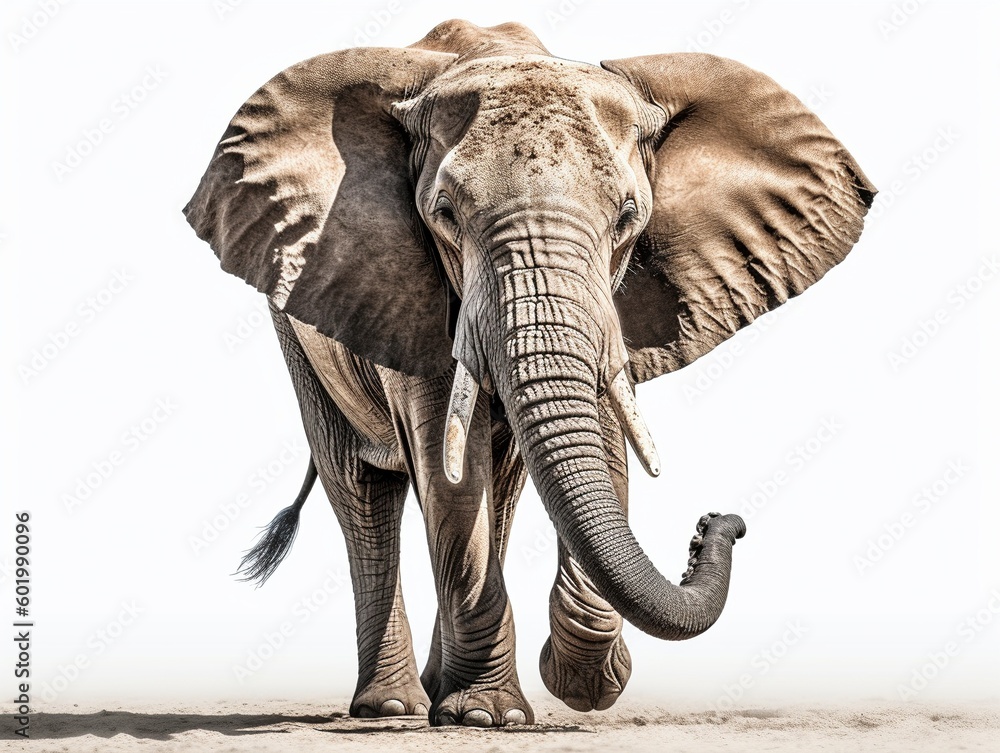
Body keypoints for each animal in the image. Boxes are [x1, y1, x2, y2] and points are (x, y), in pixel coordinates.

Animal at [184, 20, 875, 727]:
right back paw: (392, 706)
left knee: (504, 488)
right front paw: (489, 716)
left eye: (629, 217)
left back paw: (434, 691)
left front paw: (575, 687)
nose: (717, 524)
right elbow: (449, 472)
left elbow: (598, 438)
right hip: (296, 332)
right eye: (444, 214)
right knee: (361, 489)